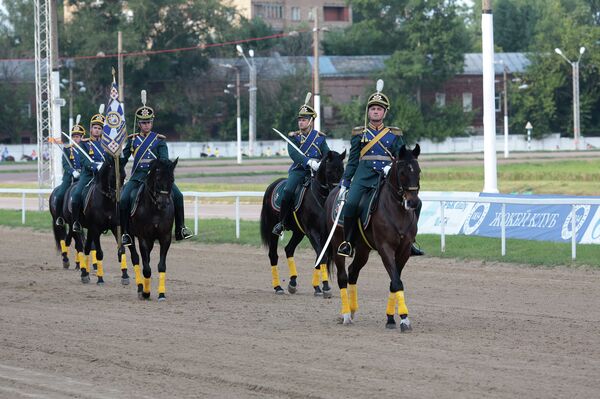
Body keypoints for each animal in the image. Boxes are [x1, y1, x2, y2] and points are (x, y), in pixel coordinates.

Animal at [123, 158, 176, 302]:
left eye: (172, 179)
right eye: (157, 178)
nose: (163, 203)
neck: (155, 210)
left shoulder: (165, 238)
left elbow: (161, 265)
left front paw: (161, 294)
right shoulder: (143, 238)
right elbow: (146, 268)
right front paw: (146, 293)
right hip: (130, 236)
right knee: (135, 258)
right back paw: (140, 288)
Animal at [258, 150, 346, 296]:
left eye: (343, 170)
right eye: (329, 171)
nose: (337, 191)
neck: (321, 198)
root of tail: (272, 185)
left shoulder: (325, 234)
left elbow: (320, 256)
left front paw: (319, 287)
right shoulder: (312, 232)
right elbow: (322, 256)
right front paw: (325, 287)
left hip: (298, 232)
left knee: (289, 249)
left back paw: (292, 282)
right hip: (273, 230)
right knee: (273, 255)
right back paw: (278, 287)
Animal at [326, 144, 420, 332]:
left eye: (418, 171)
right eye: (402, 172)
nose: (413, 203)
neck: (397, 211)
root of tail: (334, 192)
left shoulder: (404, 250)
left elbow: (394, 281)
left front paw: (391, 318)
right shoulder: (385, 248)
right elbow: (397, 282)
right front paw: (404, 319)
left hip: (363, 249)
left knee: (353, 272)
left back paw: (352, 310)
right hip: (337, 244)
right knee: (343, 276)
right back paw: (346, 314)